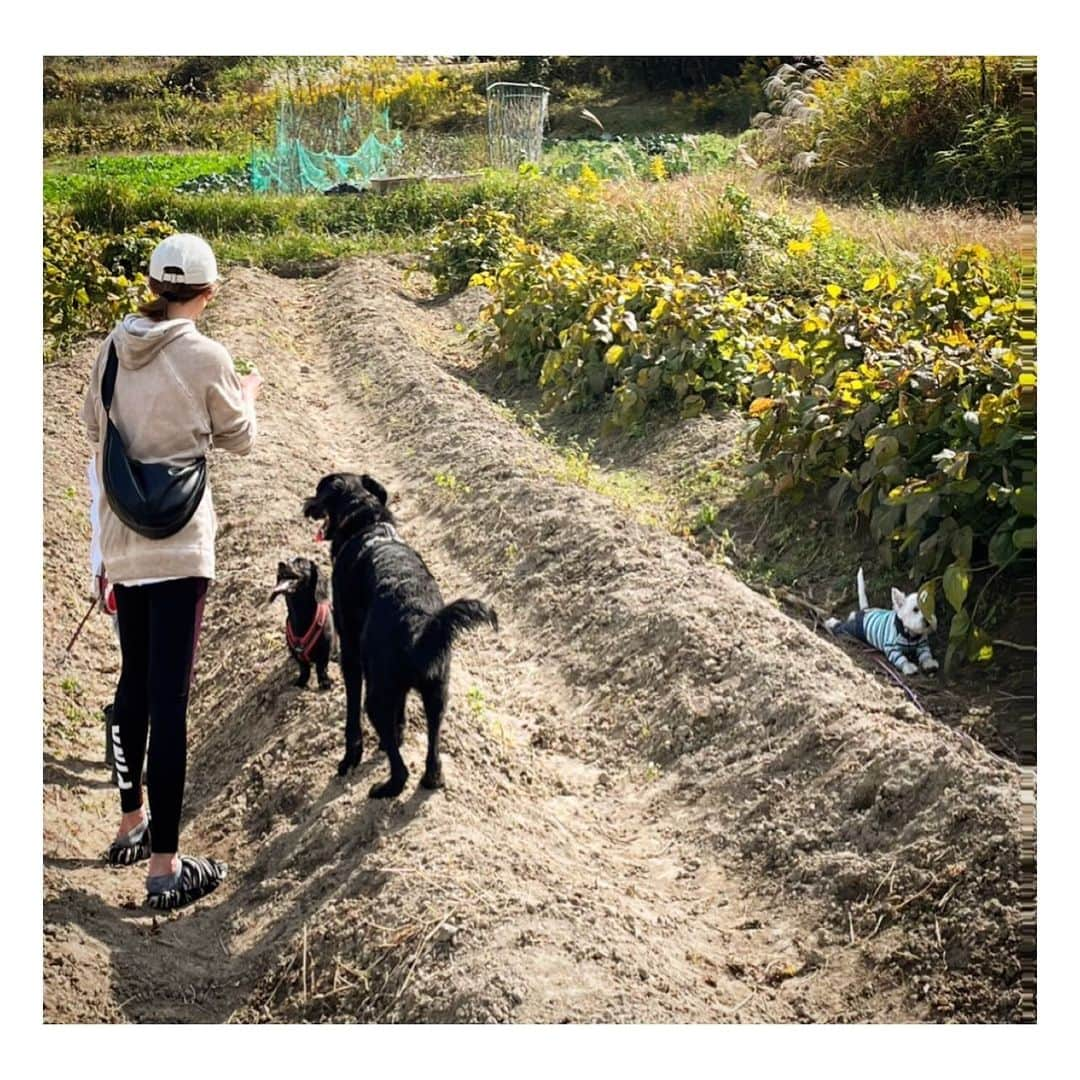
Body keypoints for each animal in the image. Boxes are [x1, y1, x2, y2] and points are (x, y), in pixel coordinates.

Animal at [268, 557, 332, 691]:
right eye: (287, 559)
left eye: (300, 562)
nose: (281, 564)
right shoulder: (297, 654)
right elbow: (304, 668)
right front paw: (301, 682)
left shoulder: (325, 649)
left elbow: (321, 667)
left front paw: (324, 682)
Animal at [302, 470, 498, 794]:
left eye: (320, 492)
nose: (307, 505)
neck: (367, 524)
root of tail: (420, 630)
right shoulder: (402, 688)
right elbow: (401, 715)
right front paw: (398, 734)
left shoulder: (351, 656)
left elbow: (352, 720)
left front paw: (349, 760)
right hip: (438, 692)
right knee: (433, 742)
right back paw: (432, 778)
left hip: (377, 697)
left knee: (400, 769)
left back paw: (386, 788)